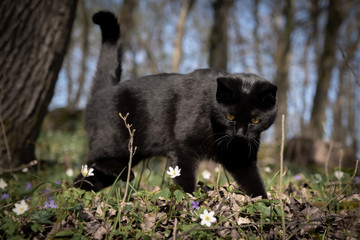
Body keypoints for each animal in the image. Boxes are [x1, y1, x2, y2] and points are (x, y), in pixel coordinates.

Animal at [73, 11, 278, 199]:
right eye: (230, 116)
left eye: (255, 120)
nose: (240, 134)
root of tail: (103, 91)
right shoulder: (183, 147)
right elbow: (184, 177)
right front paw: (188, 200)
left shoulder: (242, 156)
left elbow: (254, 182)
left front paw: (266, 205)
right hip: (116, 141)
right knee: (96, 159)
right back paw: (124, 173)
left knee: (85, 175)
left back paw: (78, 194)